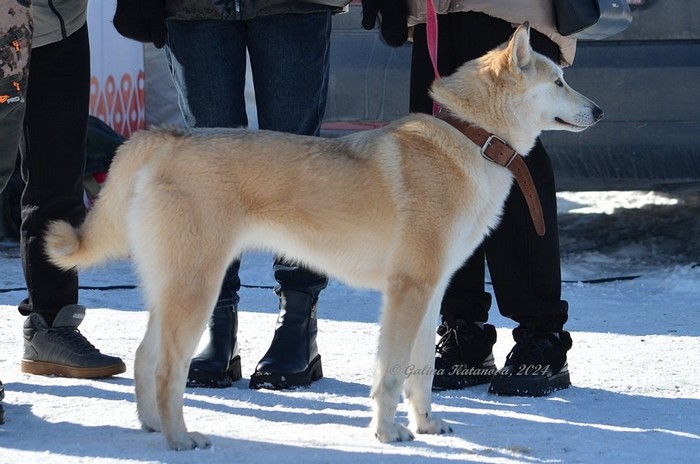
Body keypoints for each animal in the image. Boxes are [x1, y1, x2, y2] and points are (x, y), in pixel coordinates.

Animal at [44, 24, 602, 450]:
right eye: (558, 81)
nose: (598, 112)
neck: (470, 138)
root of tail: (163, 137)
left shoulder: (430, 295)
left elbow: (420, 374)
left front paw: (425, 425)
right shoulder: (407, 292)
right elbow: (390, 375)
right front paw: (386, 434)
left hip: (173, 289)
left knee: (144, 358)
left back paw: (153, 426)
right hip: (197, 289)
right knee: (167, 371)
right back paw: (181, 438)